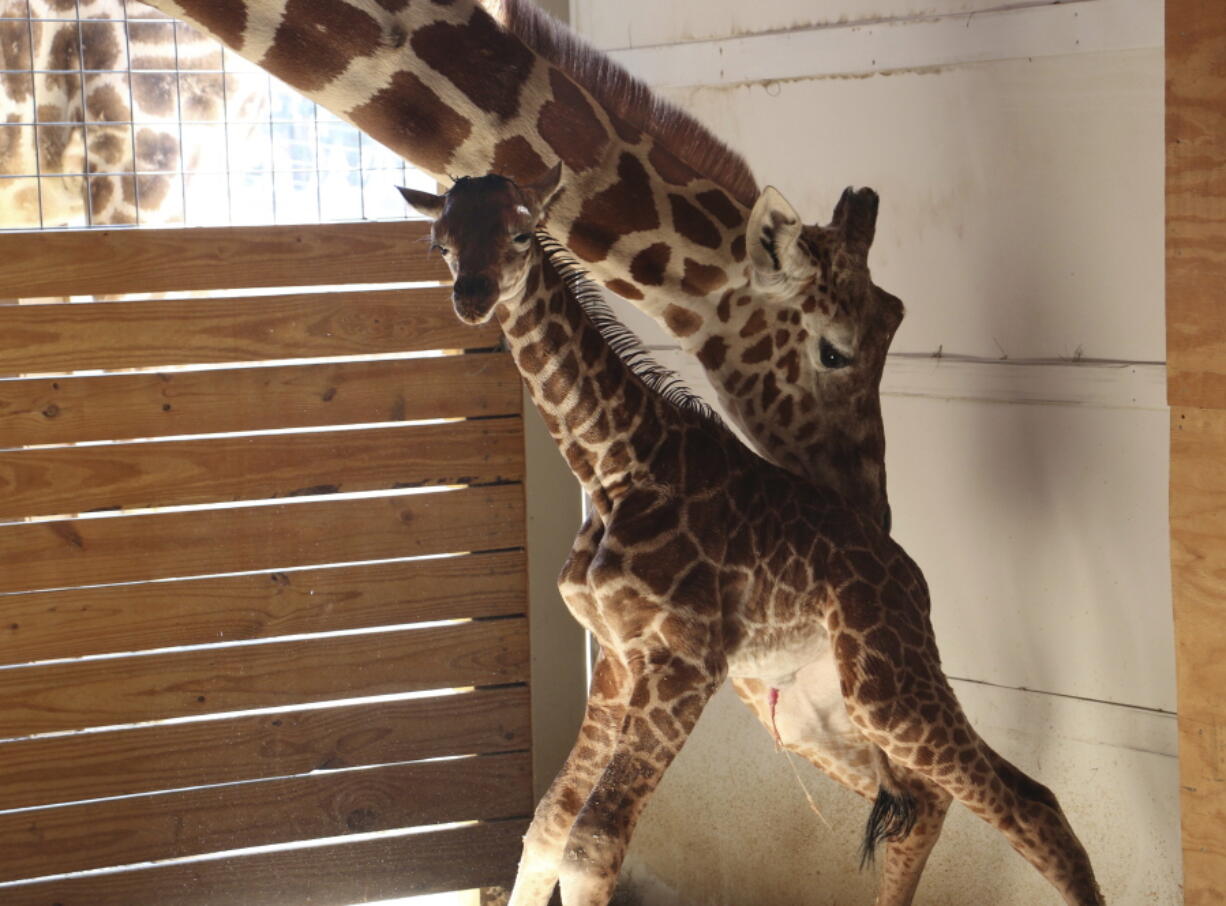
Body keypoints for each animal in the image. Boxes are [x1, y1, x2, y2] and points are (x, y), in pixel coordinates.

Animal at [399, 170, 1103, 906]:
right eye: (440, 243)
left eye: (517, 232)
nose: (472, 296)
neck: (613, 464)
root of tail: (913, 580)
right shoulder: (618, 658)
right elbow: (547, 826)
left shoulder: (684, 658)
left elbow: (591, 846)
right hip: (810, 708)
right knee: (930, 803)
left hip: (888, 685)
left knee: (1030, 804)